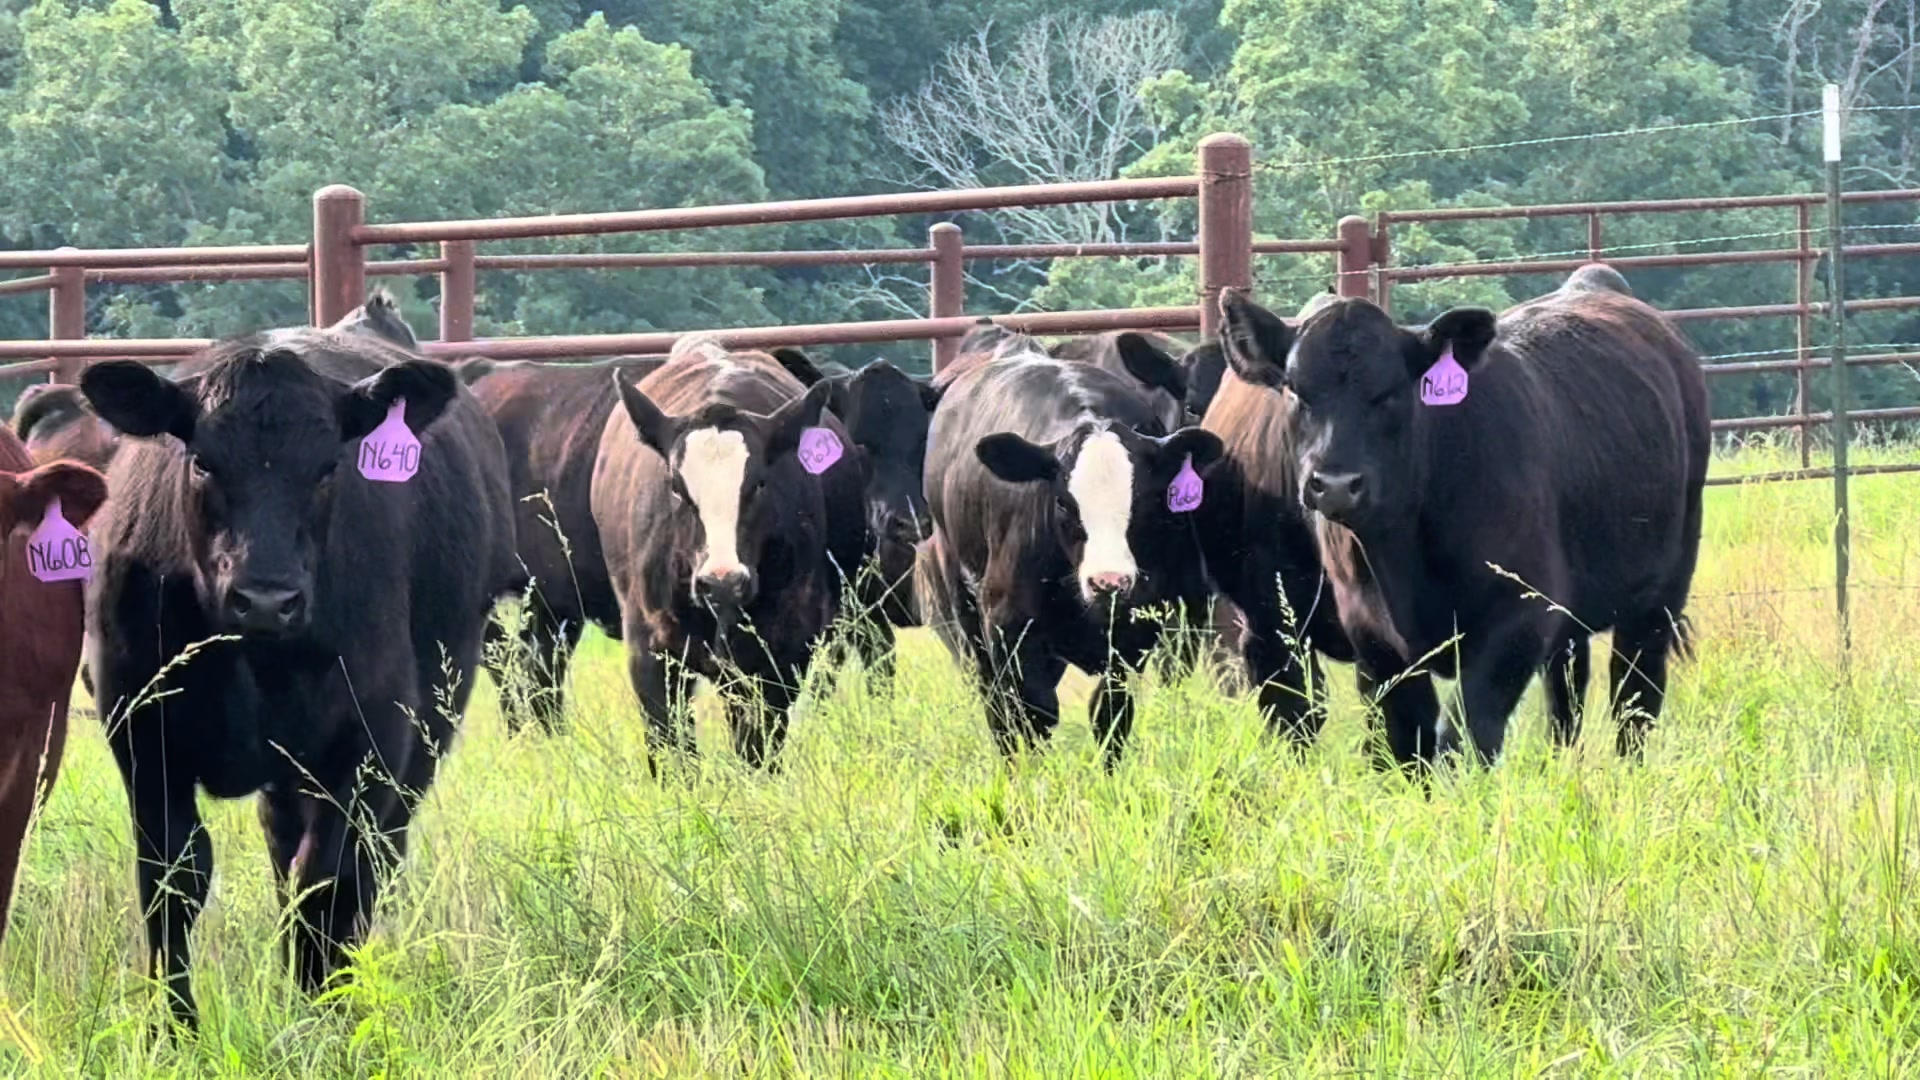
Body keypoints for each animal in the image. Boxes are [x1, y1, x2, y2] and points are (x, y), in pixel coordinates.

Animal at [77, 327, 518, 1030]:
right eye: (203, 462)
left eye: (328, 467)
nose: (265, 598)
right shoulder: (142, 736)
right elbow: (173, 877)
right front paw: (173, 1028)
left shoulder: (367, 740)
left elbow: (328, 880)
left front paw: (319, 1017)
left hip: (423, 733)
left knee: (368, 865)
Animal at [591, 336, 866, 770]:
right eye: (676, 487)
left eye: (759, 484)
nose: (722, 581)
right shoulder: (649, 652)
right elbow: (672, 753)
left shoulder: (779, 653)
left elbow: (757, 749)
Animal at [917, 335, 1224, 769]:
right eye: (1063, 502)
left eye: (1145, 499)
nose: (1108, 582)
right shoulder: (1009, 628)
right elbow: (1032, 712)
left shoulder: (1146, 631)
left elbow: (1109, 714)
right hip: (964, 602)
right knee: (995, 699)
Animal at [1215, 272, 1707, 766]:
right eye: (1294, 390)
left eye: (1390, 393)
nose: (1335, 483)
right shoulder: (1370, 641)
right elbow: (1406, 742)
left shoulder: (1517, 619)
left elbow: (1466, 737)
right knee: (1567, 690)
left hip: (1657, 600)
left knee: (1635, 697)